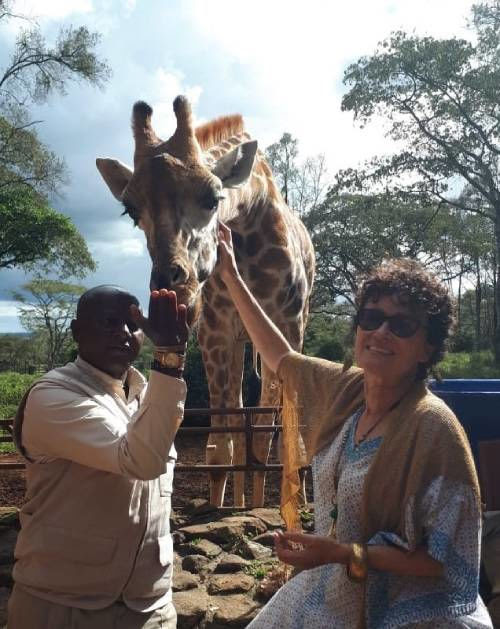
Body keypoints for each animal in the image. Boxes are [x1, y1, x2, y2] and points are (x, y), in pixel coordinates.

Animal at [96, 95, 314, 508]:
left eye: (213, 199)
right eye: (130, 210)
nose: (175, 291)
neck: (250, 215)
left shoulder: (285, 327)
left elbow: (266, 436)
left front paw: (261, 510)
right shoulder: (215, 332)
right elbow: (220, 448)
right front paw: (223, 510)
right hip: (239, 340)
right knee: (241, 418)